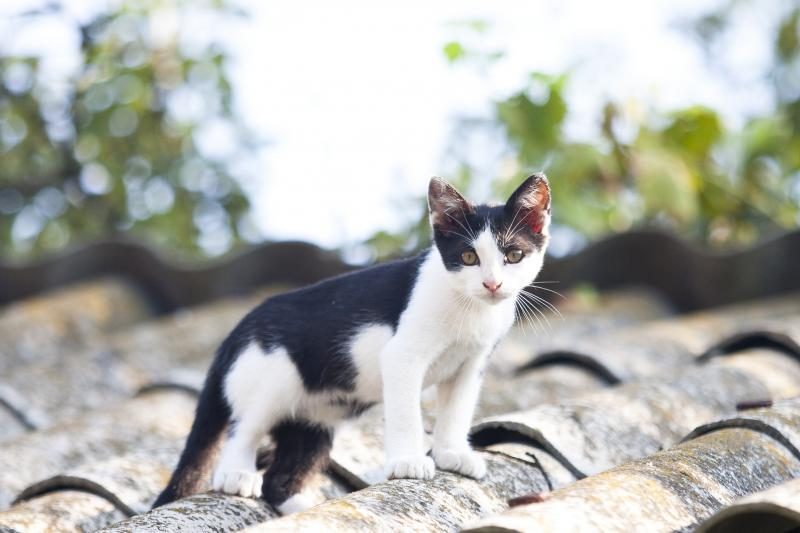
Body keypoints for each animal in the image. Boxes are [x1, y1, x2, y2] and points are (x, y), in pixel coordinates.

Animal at [152, 172, 552, 512]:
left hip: (316, 418)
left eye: (513, 255)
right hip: (271, 379)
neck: (469, 310)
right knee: (243, 427)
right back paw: (235, 474)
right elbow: (406, 412)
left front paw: (452, 453)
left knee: (279, 477)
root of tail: (238, 328)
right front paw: (407, 461)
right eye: (468, 257)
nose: (492, 284)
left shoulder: (471, 364)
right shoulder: (402, 356)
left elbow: (458, 409)